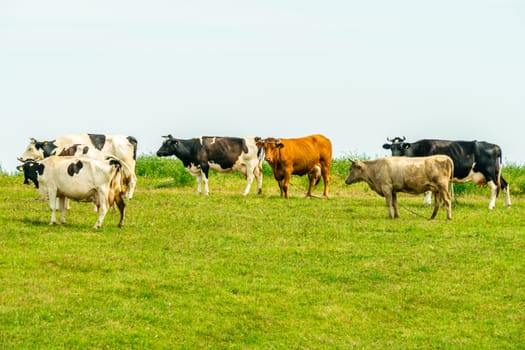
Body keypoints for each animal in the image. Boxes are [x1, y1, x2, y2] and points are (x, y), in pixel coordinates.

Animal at [382, 136, 510, 208]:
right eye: (391, 148)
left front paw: (427, 203)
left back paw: (491, 206)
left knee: (495, 187)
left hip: (489, 171)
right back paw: (508, 205)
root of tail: (495, 146)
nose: (394, 157)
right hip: (496, 171)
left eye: (401, 147)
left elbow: (428, 190)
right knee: (505, 184)